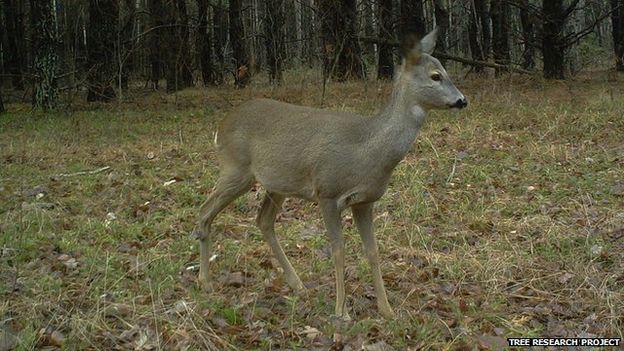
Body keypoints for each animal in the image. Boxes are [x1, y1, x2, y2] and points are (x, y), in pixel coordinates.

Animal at [193, 29, 466, 322]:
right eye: (435, 76)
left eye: (445, 70)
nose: (462, 100)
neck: (368, 150)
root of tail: (221, 126)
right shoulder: (327, 191)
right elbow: (338, 250)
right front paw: (341, 311)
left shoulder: (365, 201)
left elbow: (373, 251)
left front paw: (387, 310)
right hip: (236, 169)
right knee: (205, 210)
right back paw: (205, 281)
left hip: (277, 184)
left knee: (263, 220)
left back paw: (297, 284)